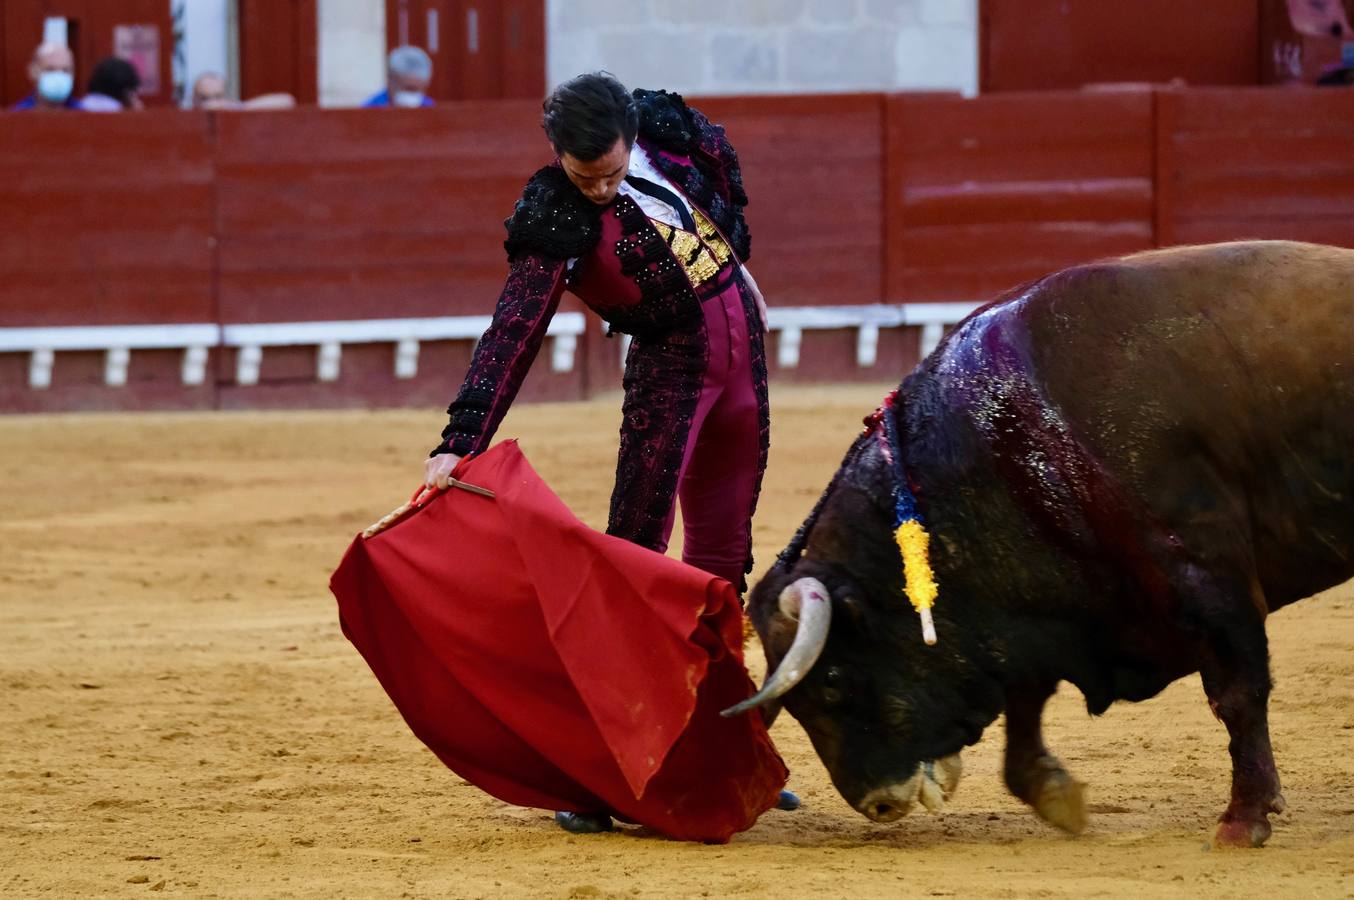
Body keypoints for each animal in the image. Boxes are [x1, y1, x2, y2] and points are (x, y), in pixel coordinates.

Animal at [731, 238, 1354, 844]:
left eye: (833, 682)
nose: (877, 803)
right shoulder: (1038, 604)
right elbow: (1023, 699)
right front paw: (1054, 794)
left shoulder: (1207, 575)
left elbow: (1237, 694)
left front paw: (1243, 819)